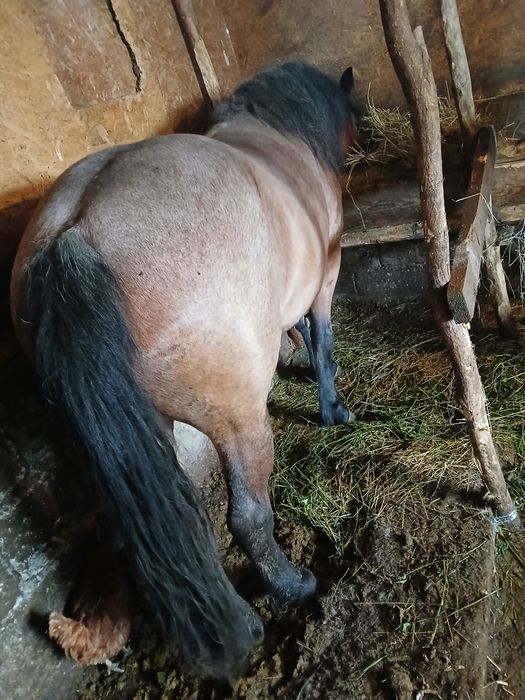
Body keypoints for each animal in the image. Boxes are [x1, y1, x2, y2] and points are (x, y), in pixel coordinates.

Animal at [10, 62, 360, 679]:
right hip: (239, 421)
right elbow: (322, 343)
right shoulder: (326, 279)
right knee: (248, 516)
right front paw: (332, 409)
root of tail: (75, 232)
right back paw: (291, 587)